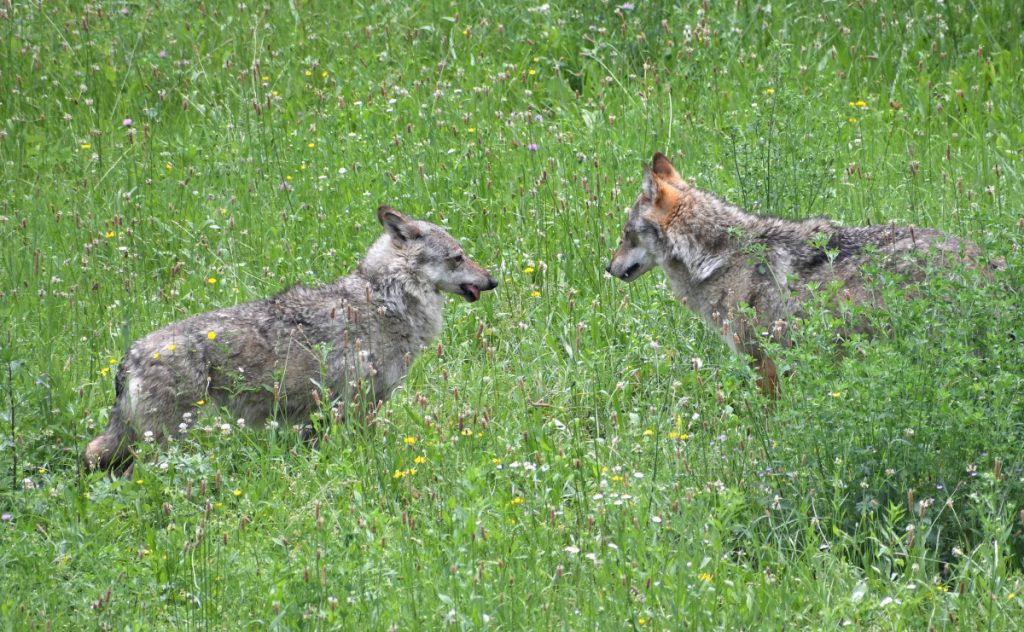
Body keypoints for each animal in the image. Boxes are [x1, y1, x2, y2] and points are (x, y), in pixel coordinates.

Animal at [88, 204, 495, 471]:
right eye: (458, 257)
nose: (493, 280)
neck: (386, 297)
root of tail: (129, 357)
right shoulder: (356, 406)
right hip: (165, 441)